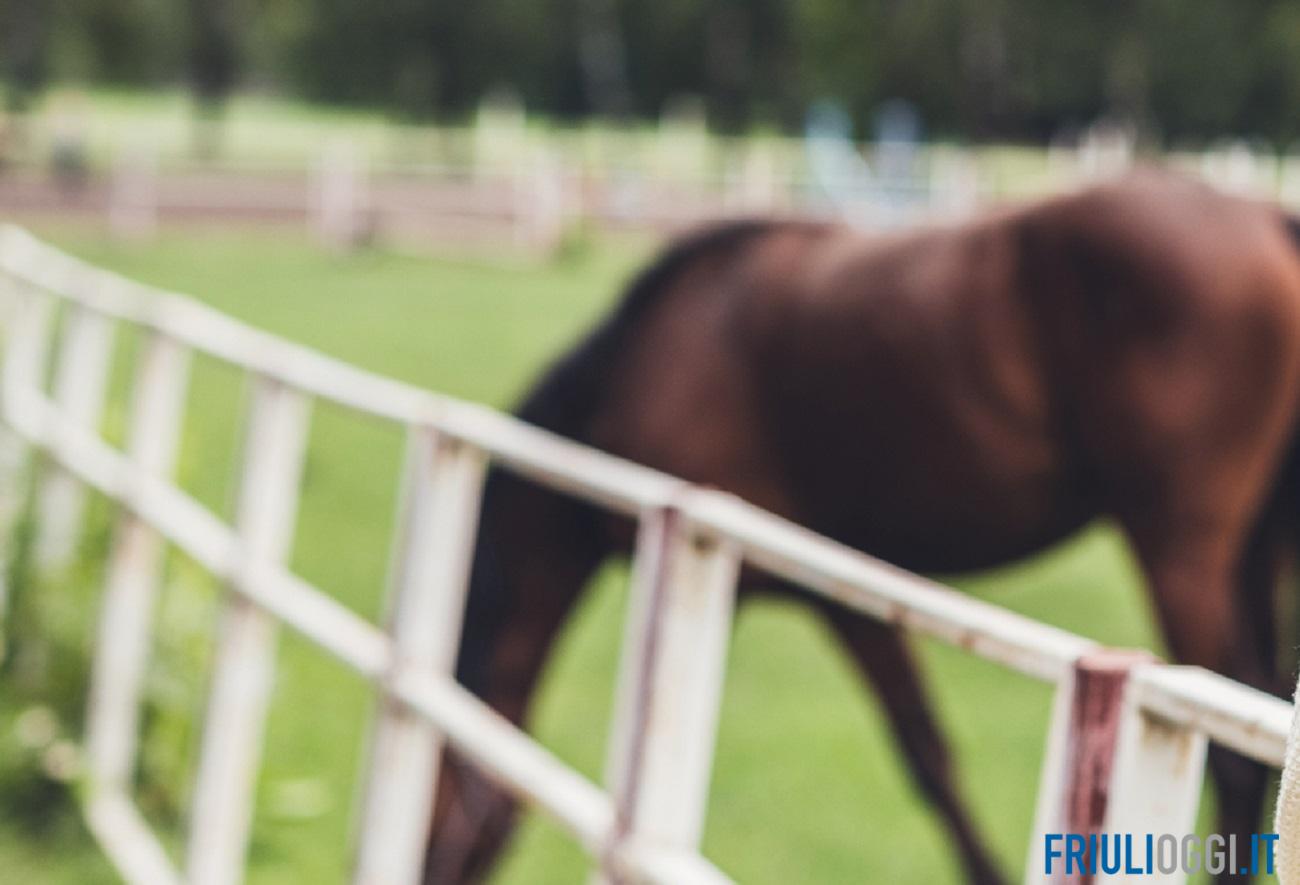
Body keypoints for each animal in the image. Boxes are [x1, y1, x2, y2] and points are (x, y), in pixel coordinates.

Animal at [423, 168, 1300, 884]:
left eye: (434, 817)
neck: (651, 363)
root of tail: (1265, 217)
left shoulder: (836, 593)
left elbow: (927, 757)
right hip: (1251, 557)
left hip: (1182, 554)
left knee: (1237, 761)